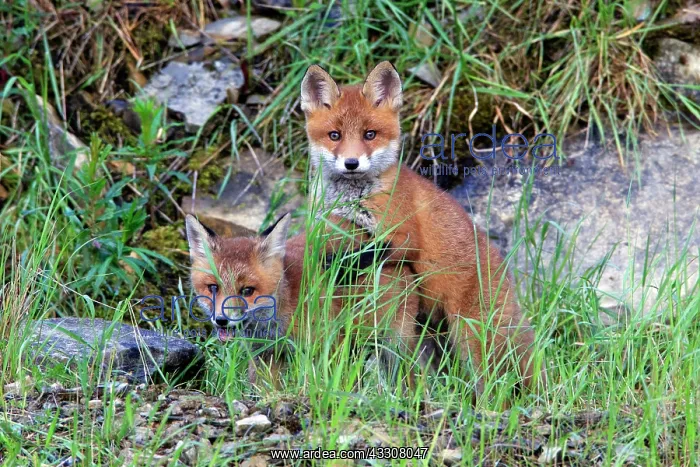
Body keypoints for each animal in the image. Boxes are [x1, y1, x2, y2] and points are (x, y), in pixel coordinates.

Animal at [184, 213, 429, 386]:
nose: (221, 321)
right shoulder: (266, 356)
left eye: (247, 291)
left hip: (395, 344)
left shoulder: (330, 348)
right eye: (213, 287)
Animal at [300, 61, 543, 393]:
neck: (353, 197)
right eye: (334, 135)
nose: (351, 163)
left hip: (471, 337)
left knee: (495, 384)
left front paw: (338, 266)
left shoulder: (405, 236)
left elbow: (366, 255)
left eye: (369, 134)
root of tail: (504, 272)